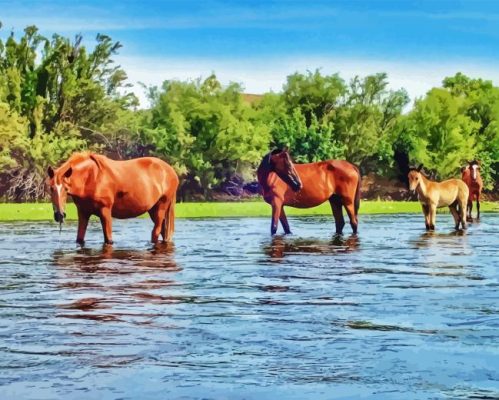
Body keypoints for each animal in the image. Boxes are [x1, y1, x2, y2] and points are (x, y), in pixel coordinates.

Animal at [46, 153, 180, 245]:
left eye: (65, 188)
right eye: (51, 188)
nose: (60, 215)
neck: (91, 177)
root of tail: (170, 171)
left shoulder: (105, 211)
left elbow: (108, 239)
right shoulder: (83, 213)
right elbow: (79, 239)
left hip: (161, 208)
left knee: (155, 232)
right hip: (153, 210)